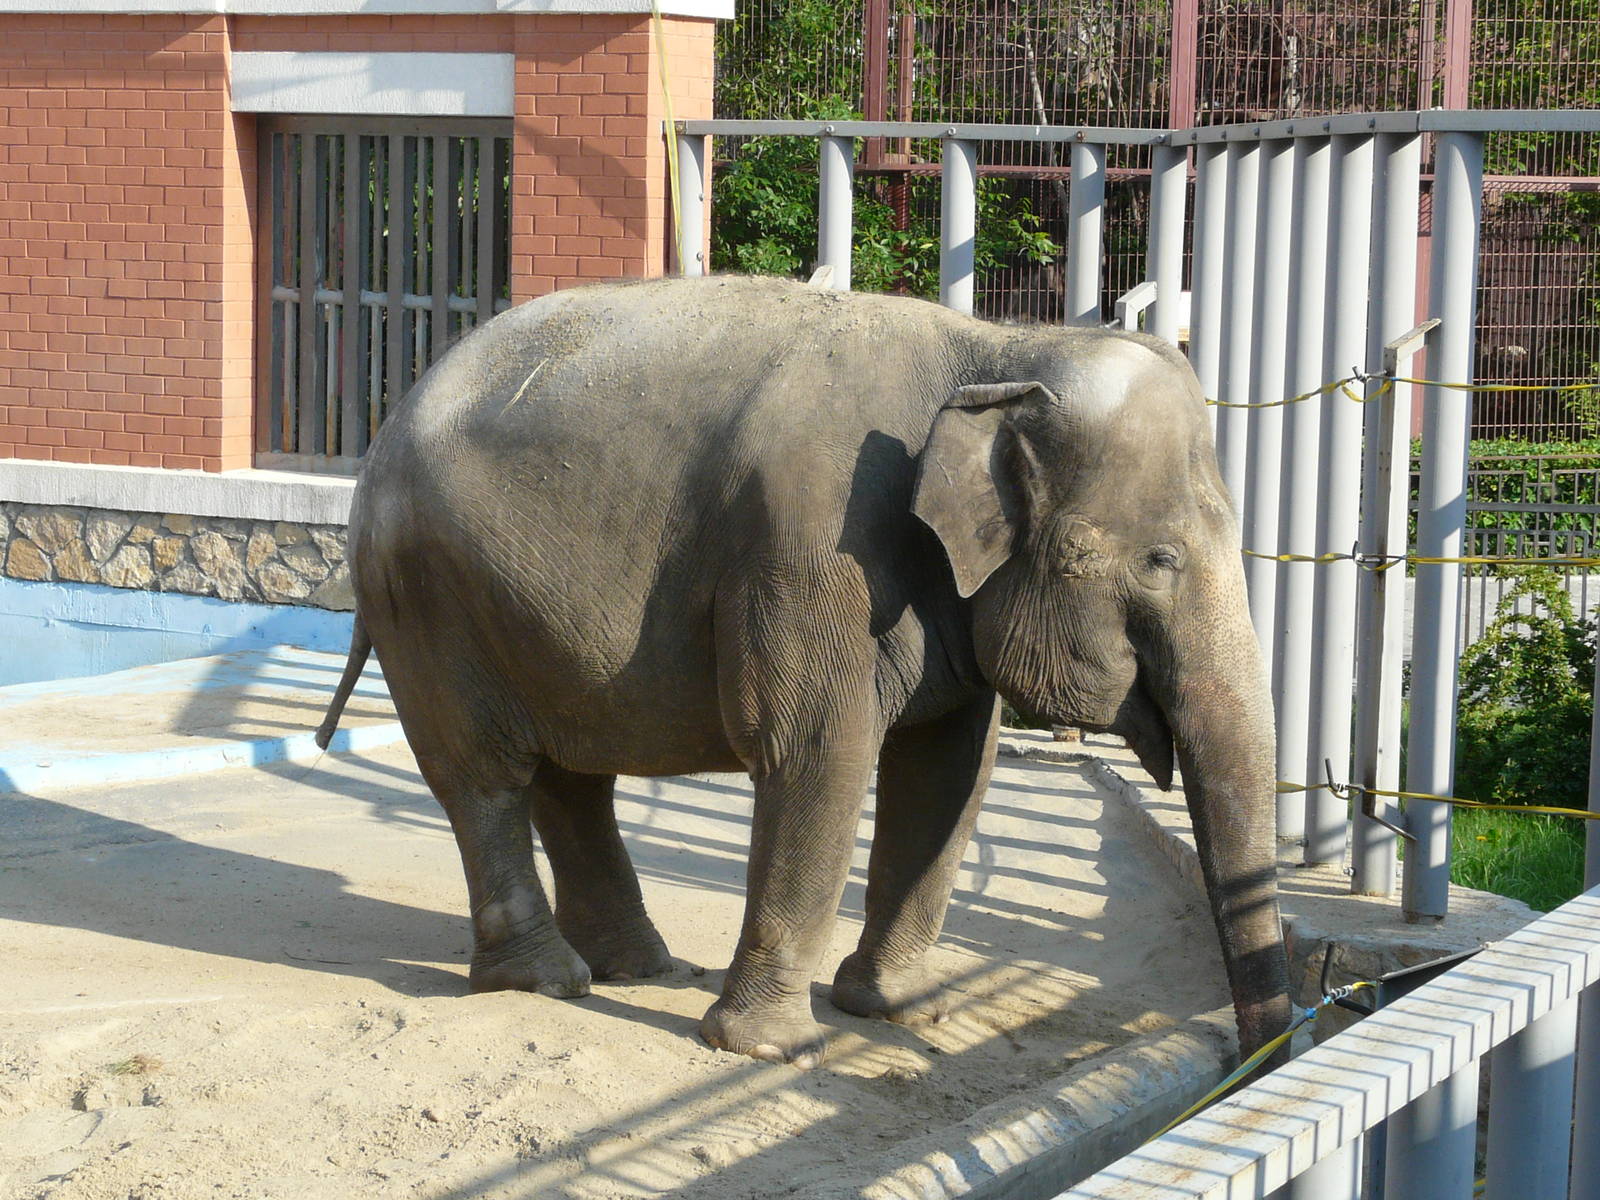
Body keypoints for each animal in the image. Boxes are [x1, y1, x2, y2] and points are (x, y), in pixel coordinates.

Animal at [316, 274, 1291, 1069]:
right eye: (1161, 561)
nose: (1253, 1059)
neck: (999, 350)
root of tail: (391, 418)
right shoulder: (809, 549)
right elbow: (820, 751)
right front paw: (770, 1050)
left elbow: (950, 772)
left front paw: (904, 1011)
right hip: (429, 602)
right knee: (485, 775)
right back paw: (552, 980)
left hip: (520, 603)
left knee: (570, 773)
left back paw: (639, 968)